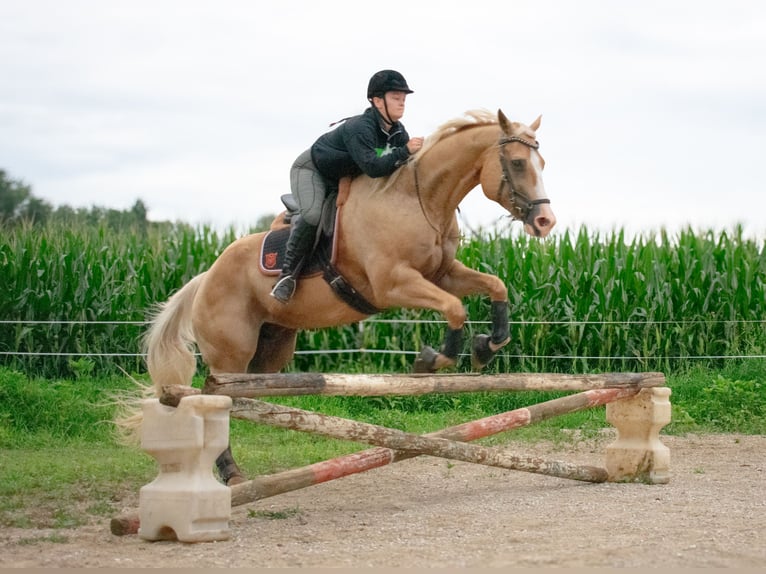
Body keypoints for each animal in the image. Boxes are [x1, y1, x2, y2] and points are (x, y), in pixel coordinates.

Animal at [126, 109, 560, 486]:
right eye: (517, 163)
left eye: (543, 163)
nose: (545, 222)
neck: (418, 199)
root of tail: (205, 277)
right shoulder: (393, 283)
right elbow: (454, 309)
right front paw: (431, 360)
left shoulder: (443, 275)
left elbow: (496, 286)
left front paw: (487, 346)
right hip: (229, 354)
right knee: (218, 402)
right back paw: (231, 473)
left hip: (270, 349)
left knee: (242, 397)